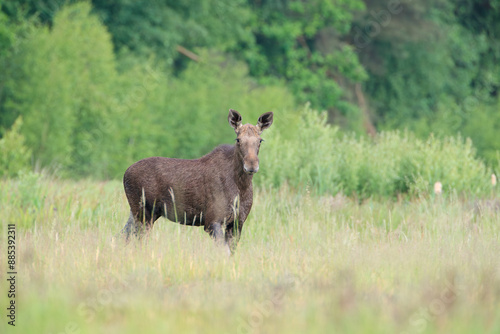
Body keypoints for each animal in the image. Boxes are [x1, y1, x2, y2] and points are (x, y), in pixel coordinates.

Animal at [120, 109, 274, 253]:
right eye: (238, 139)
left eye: (260, 140)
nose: (251, 165)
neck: (241, 187)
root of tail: (125, 173)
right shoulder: (212, 221)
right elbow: (224, 252)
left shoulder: (238, 222)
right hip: (144, 213)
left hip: (139, 213)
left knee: (123, 235)